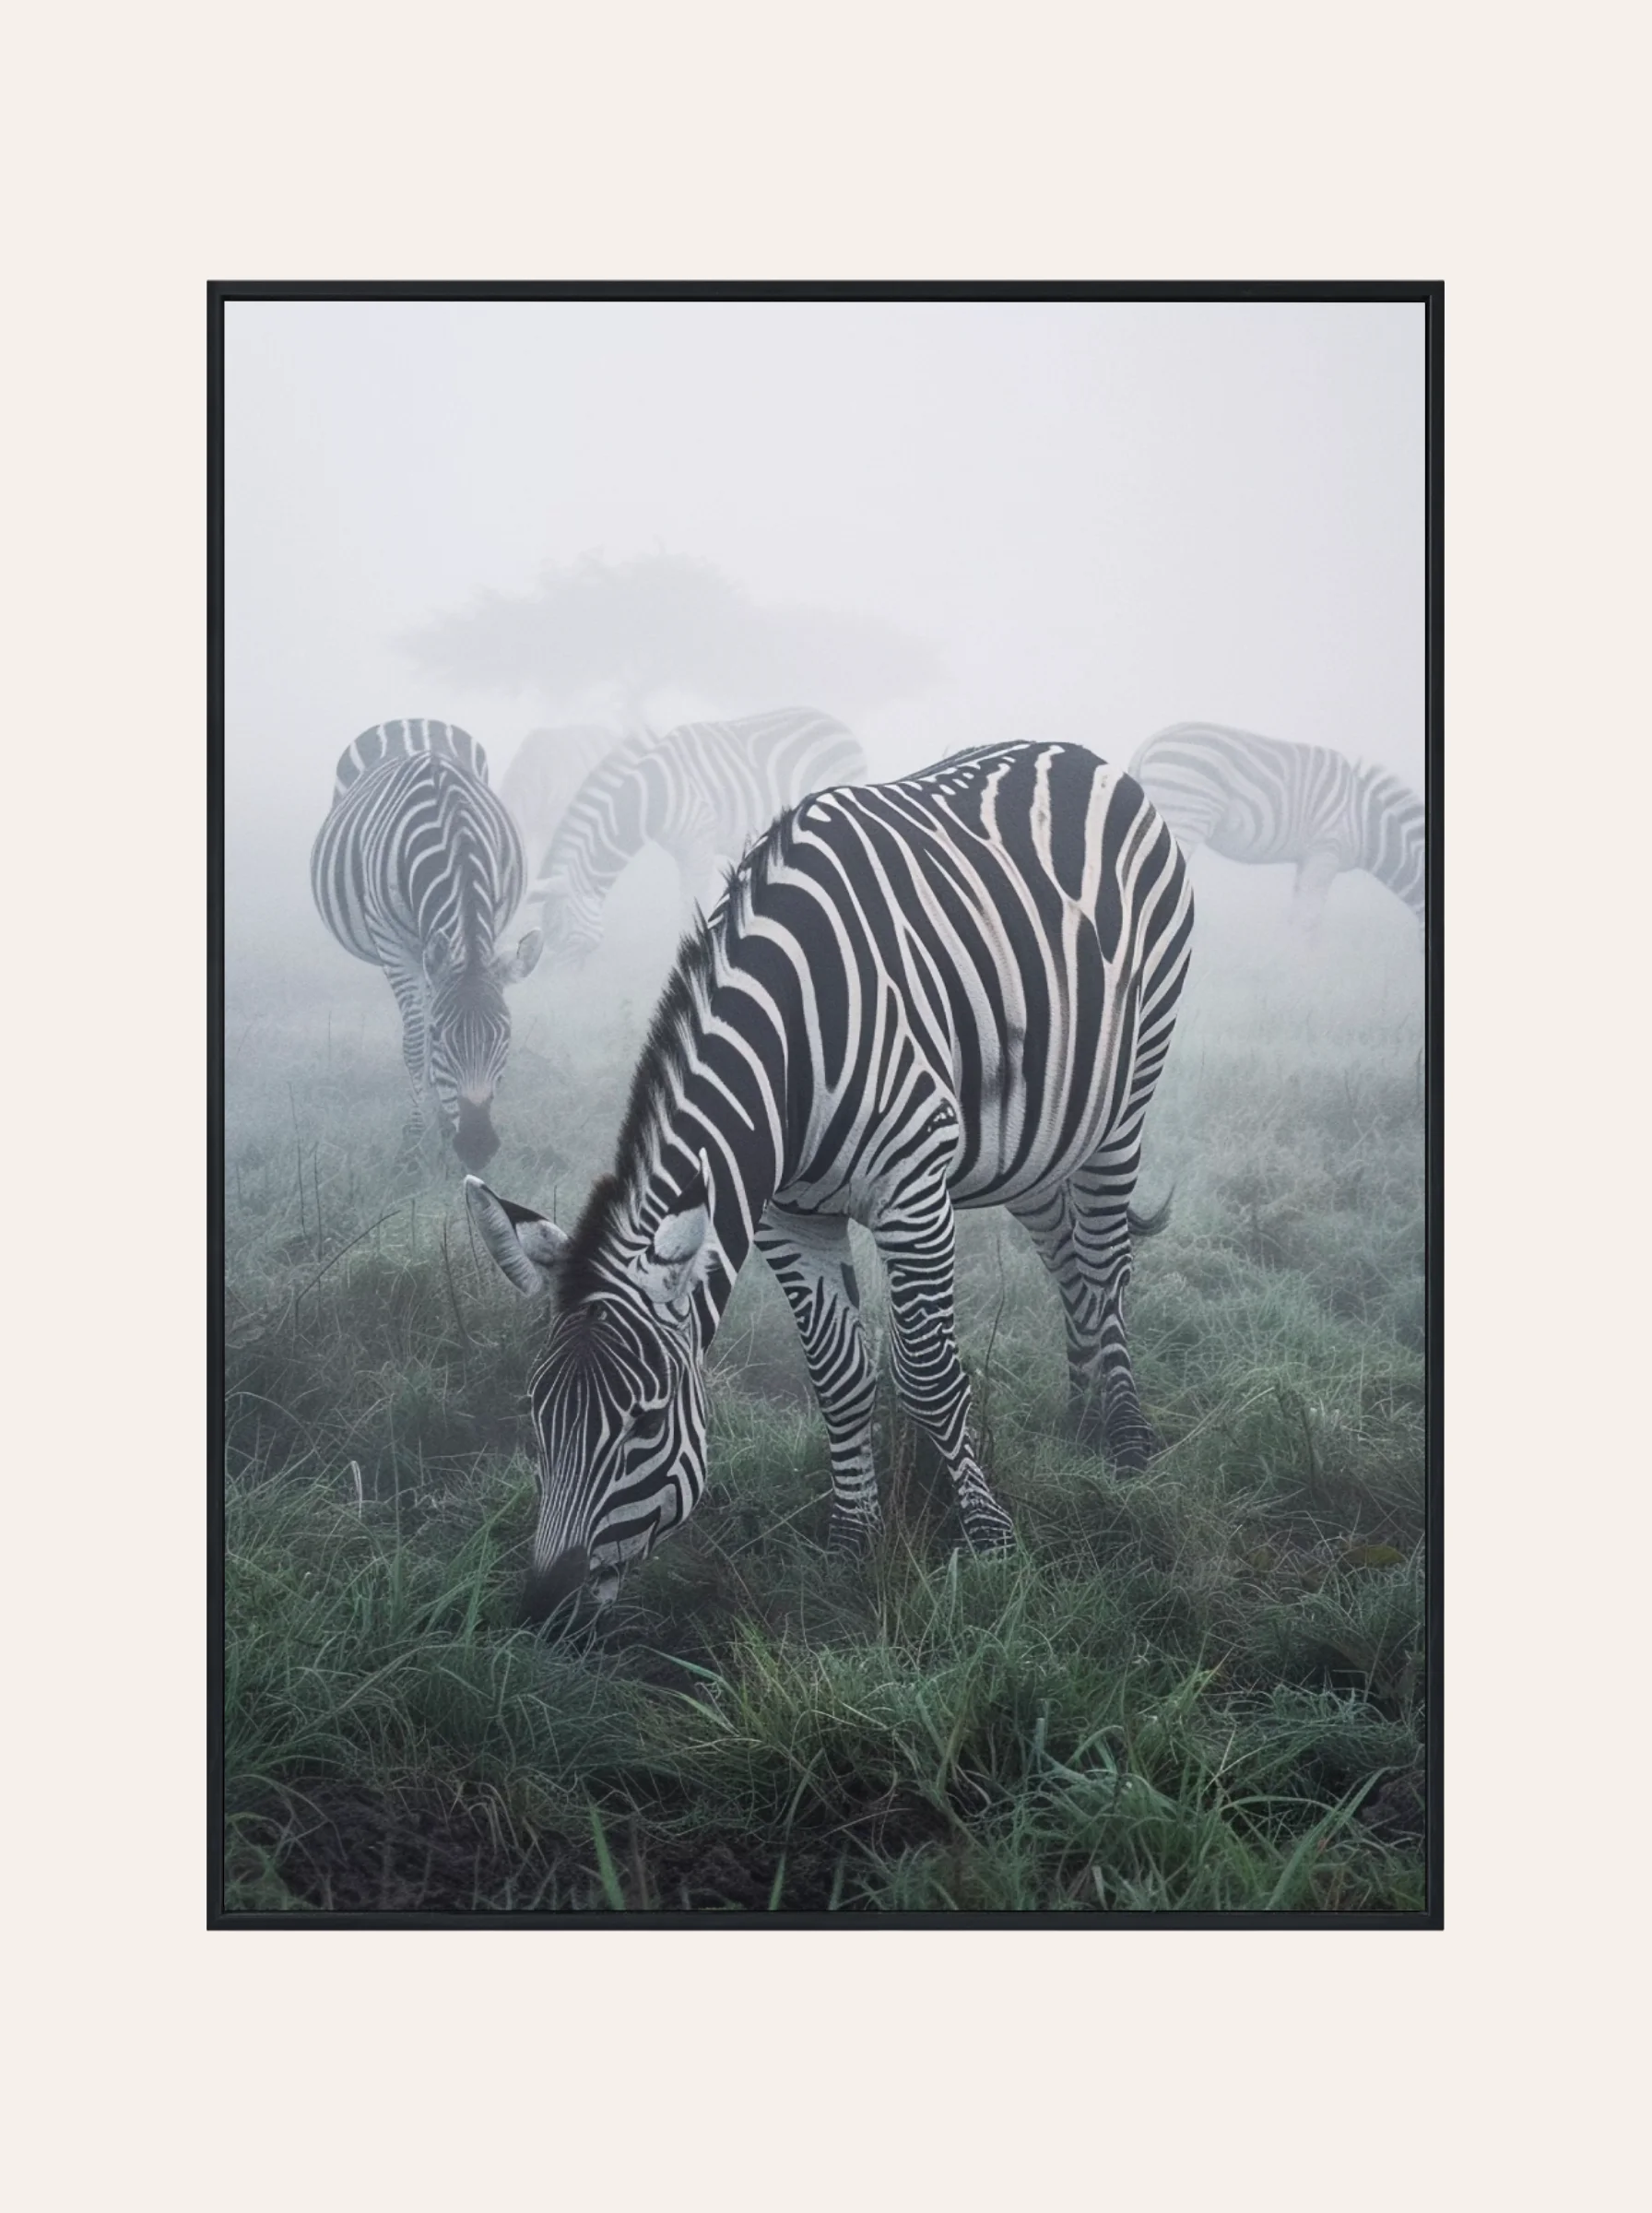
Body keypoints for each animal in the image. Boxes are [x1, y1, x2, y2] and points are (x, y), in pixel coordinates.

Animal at [310, 719, 542, 1171]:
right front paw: (412, 1146)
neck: (451, 832)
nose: (477, 1147)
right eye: (439, 1036)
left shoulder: (489, 925)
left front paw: (442, 1128)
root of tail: (410, 720)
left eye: (506, 1035)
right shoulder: (393, 944)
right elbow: (415, 1043)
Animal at [466, 739, 1193, 1623]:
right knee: (1067, 1253)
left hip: (1126, 1093)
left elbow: (931, 1374)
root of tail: (1070, 750)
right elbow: (839, 1377)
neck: (788, 1051)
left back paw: (1124, 1435)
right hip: (1040, 1131)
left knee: (1103, 1258)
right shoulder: (788, 1215)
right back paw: (1083, 1411)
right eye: (537, 1416)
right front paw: (853, 1540)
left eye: (643, 1423)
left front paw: (990, 1539)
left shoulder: (913, 1196)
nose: (544, 1609)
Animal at [530, 707, 867, 966]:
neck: (650, 796)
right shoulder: (684, 851)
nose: (563, 992)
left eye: (562, 934)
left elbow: (690, 907)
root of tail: (841, 726)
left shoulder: (698, 843)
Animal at [1127, 723, 1425, 932]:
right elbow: (1309, 917)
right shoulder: (1326, 852)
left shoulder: (1308, 859)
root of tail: (1150, 742)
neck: (1366, 822)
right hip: (1186, 815)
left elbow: (1298, 914)